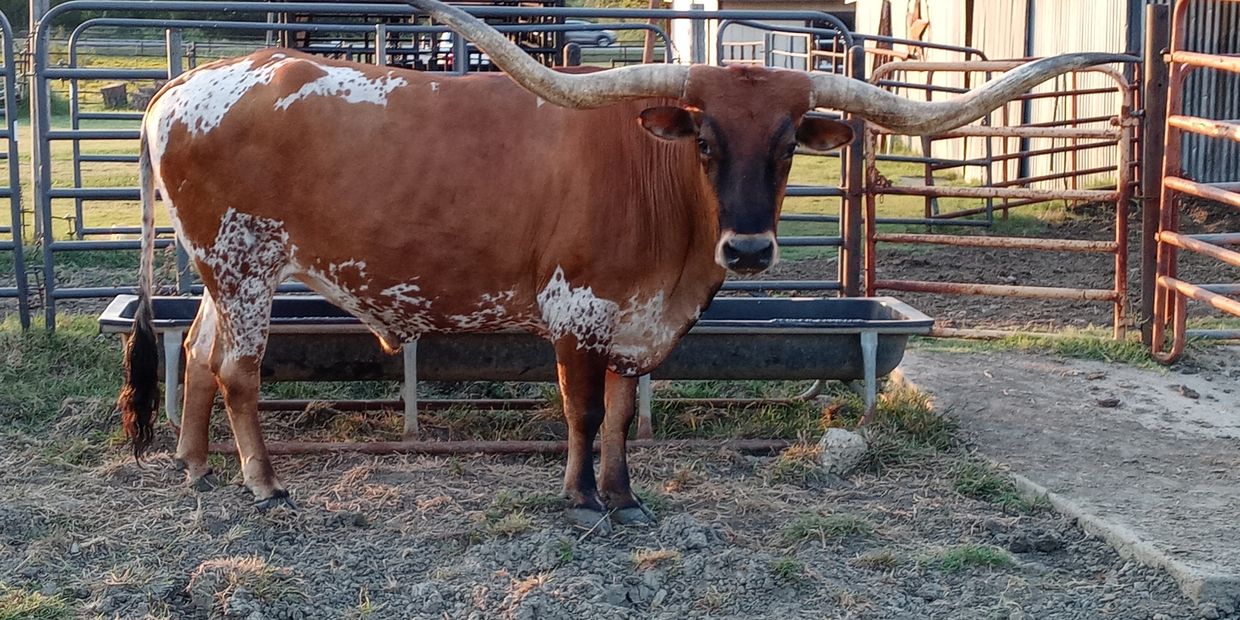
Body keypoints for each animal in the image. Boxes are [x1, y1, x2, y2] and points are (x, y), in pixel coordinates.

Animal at [117, 0, 1124, 528]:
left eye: (790, 145)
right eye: (707, 143)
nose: (750, 249)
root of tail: (186, 85)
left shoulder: (646, 321)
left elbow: (625, 414)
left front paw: (624, 492)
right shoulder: (578, 310)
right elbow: (582, 408)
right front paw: (578, 497)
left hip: (221, 269)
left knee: (197, 358)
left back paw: (196, 467)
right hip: (246, 263)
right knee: (240, 370)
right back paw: (261, 481)